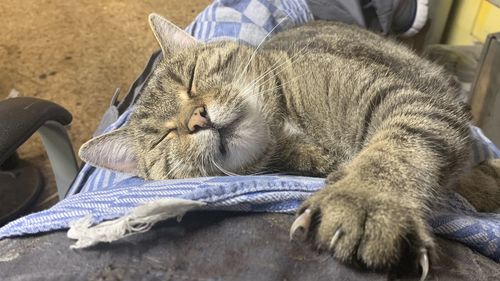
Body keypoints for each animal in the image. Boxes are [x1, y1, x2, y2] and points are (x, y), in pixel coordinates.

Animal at [79, 13, 476, 276]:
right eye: (164, 136)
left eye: (190, 80)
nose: (197, 119)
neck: (285, 124)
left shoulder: (409, 101)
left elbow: (396, 147)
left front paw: (367, 199)